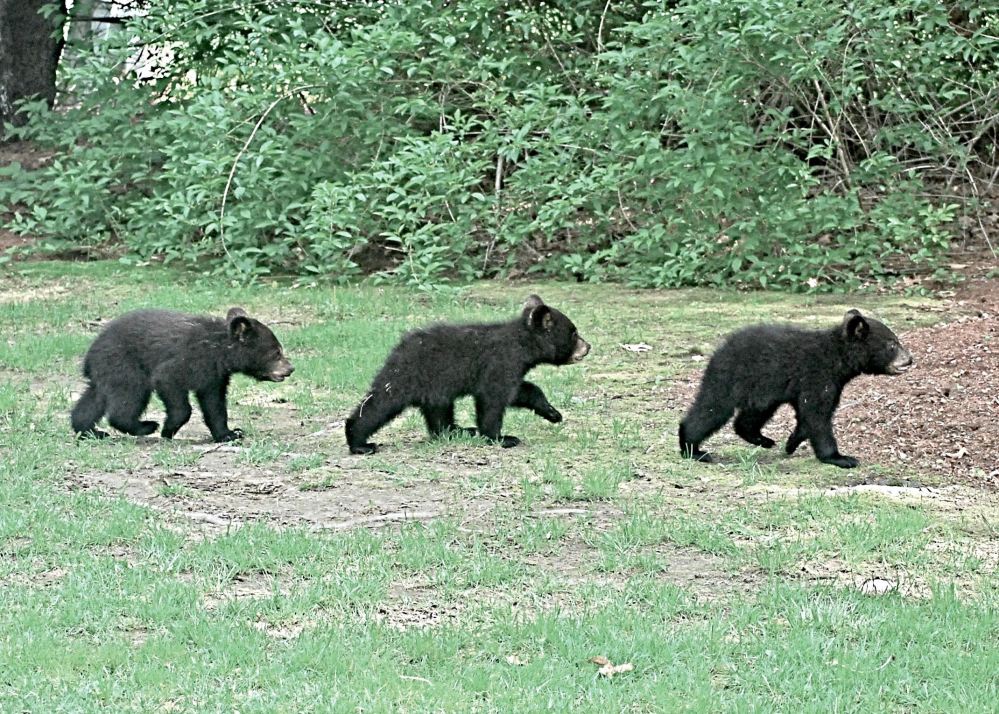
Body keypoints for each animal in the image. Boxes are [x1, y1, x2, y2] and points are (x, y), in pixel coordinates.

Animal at [71, 307, 294, 442]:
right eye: (277, 352)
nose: (290, 368)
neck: (219, 351)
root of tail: (90, 353)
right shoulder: (188, 360)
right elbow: (169, 381)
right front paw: (168, 430)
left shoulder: (214, 375)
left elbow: (214, 404)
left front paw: (230, 434)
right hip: (125, 365)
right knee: (128, 398)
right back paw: (146, 426)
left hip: (105, 371)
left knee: (92, 400)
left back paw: (91, 431)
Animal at [345, 295, 590, 454]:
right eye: (574, 332)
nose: (588, 347)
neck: (521, 345)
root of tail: (396, 350)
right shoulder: (500, 363)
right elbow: (493, 399)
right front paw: (502, 438)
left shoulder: (511, 368)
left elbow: (522, 390)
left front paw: (552, 412)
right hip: (406, 377)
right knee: (378, 405)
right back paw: (360, 443)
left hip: (435, 389)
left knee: (439, 415)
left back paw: (458, 431)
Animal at [678, 309, 912, 469]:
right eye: (892, 344)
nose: (909, 359)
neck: (837, 359)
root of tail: (719, 350)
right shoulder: (818, 377)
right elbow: (817, 415)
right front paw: (840, 458)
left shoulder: (828, 383)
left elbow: (807, 416)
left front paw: (791, 443)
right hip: (731, 378)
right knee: (712, 408)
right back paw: (693, 449)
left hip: (762, 391)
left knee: (749, 417)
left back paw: (763, 440)